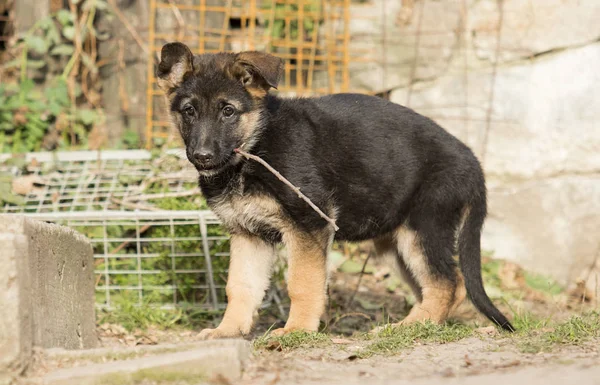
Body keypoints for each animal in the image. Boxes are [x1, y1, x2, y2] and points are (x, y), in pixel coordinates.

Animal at [157, 41, 512, 336]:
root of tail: (473, 163)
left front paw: (296, 331)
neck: (255, 147)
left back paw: (409, 327)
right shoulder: (248, 234)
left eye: (228, 111)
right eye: (189, 111)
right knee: (436, 285)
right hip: (397, 243)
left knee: (448, 283)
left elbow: (302, 283)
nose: (202, 156)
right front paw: (227, 331)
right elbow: (241, 286)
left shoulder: (309, 224)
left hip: (425, 228)